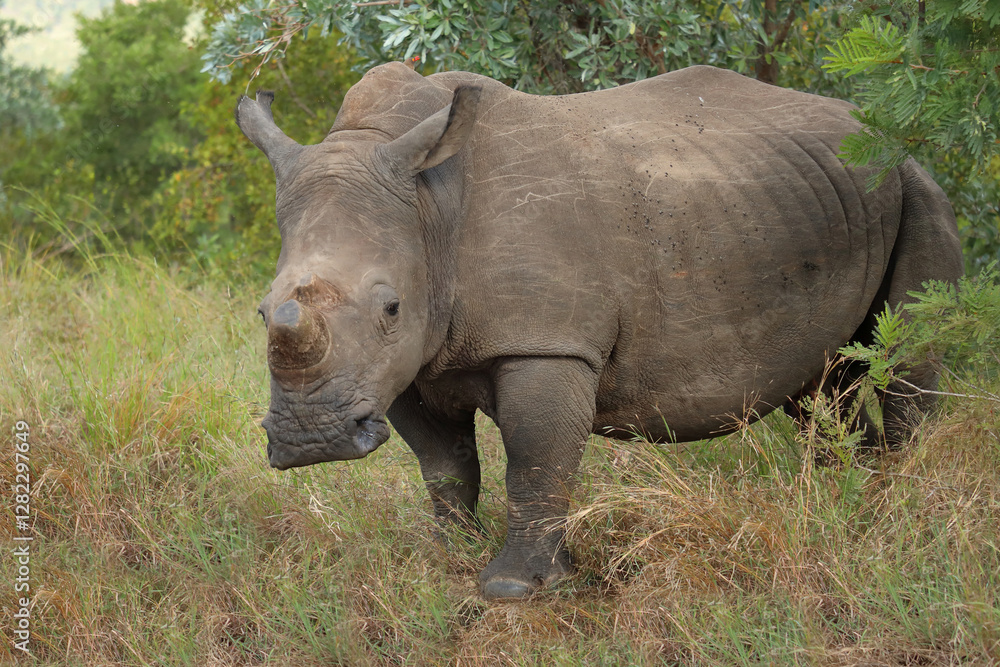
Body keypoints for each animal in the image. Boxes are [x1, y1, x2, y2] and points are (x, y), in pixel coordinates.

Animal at [235, 63, 963, 600]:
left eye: (389, 306)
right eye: (263, 311)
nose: (311, 441)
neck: (427, 207)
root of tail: (868, 127)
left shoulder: (547, 343)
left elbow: (535, 458)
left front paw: (514, 587)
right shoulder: (408, 363)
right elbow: (445, 466)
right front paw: (448, 559)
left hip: (912, 179)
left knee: (906, 356)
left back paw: (904, 505)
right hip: (818, 196)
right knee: (823, 388)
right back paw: (846, 497)